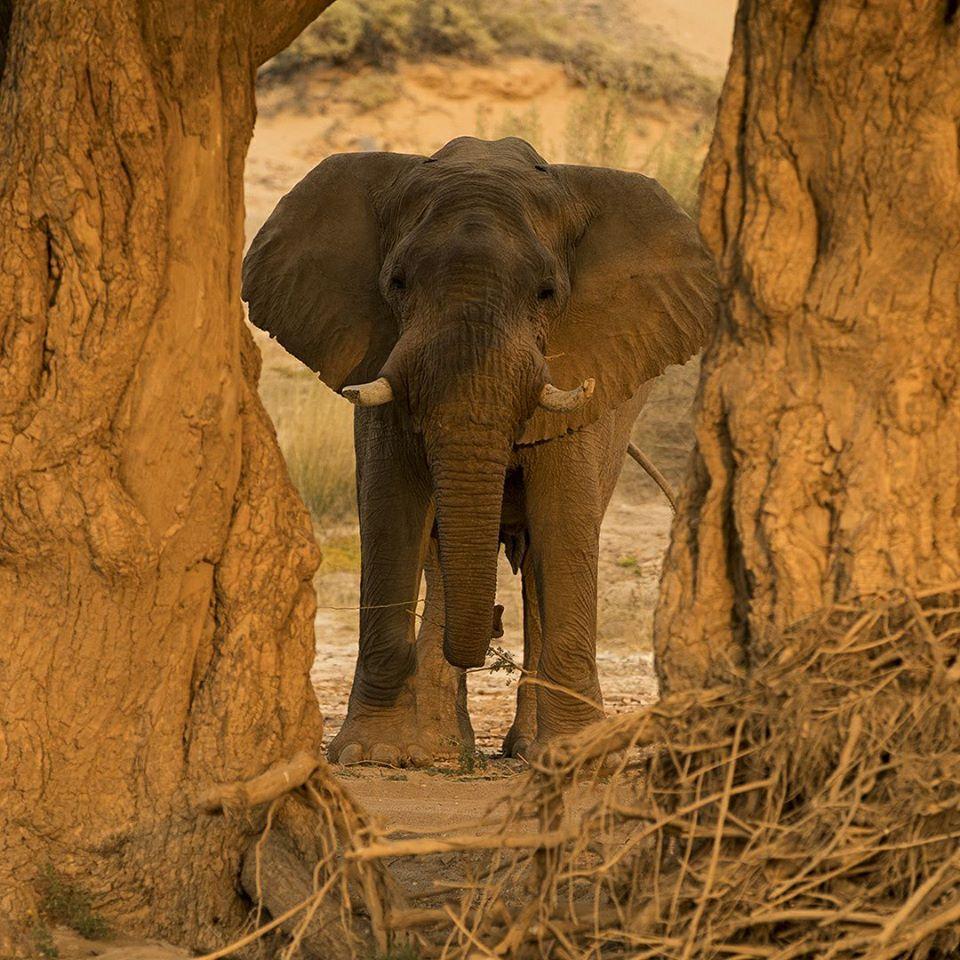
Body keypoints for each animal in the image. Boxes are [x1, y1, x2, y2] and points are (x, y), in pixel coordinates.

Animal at [244, 137, 716, 764]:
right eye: (397, 283)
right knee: (440, 550)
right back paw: (444, 749)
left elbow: (563, 520)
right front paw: (371, 753)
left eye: (547, 293)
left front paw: (576, 757)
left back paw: (522, 748)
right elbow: (392, 512)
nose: (491, 622)